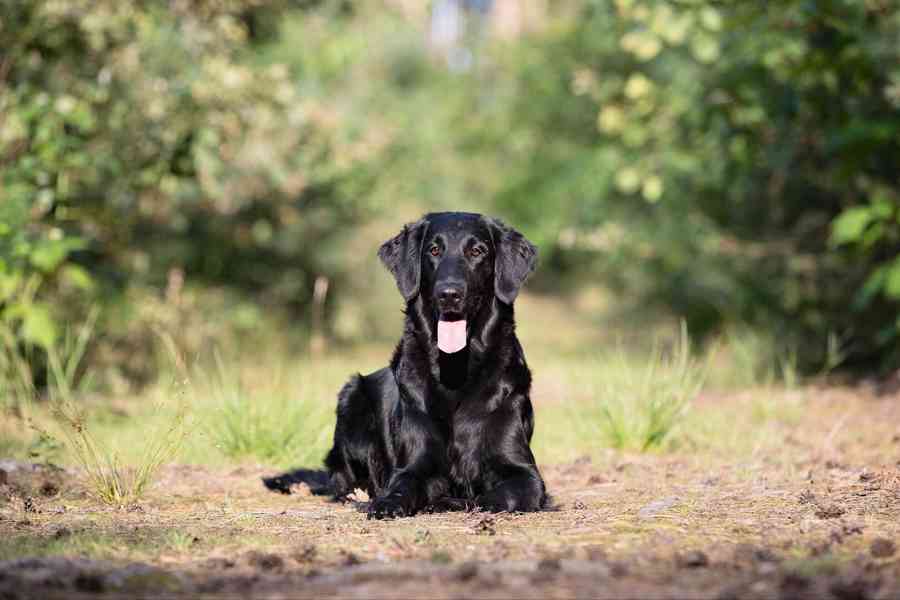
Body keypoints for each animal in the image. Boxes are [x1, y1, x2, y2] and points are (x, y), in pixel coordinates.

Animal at [268, 213, 544, 516]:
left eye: (477, 251)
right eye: (434, 250)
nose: (449, 293)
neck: (455, 370)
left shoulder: (526, 474)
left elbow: (500, 495)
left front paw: (464, 501)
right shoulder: (414, 464)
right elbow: (402, 485)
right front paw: (387, 503)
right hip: (352, 395)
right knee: (343, 482)